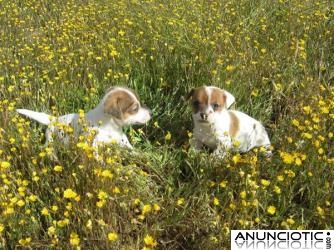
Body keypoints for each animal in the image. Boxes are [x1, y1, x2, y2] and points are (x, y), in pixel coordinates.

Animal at [17, 86, 150, 148]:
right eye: (135, 109)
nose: (151, 113)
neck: (111, 128)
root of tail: (54, 119)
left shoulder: (124, 142)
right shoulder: (93, 145)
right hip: (50, 139)